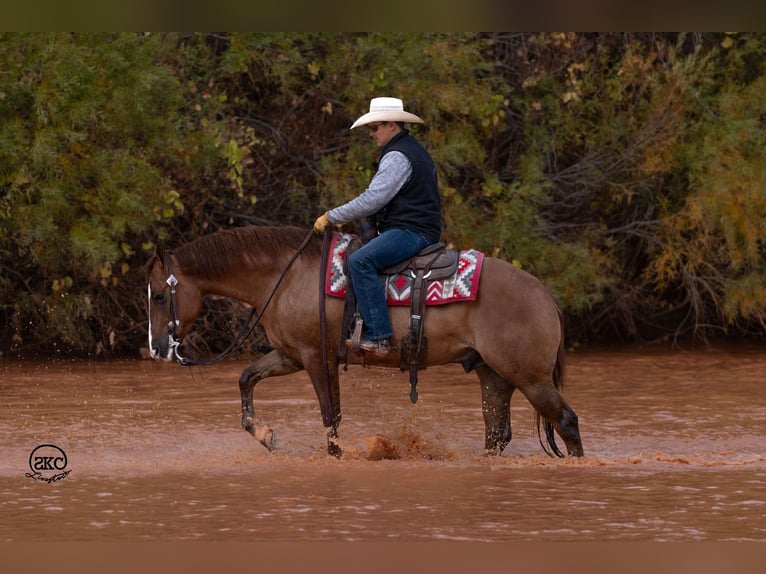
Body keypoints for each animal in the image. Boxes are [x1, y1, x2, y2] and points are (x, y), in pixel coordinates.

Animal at [147, 224, 584, 460]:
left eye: (159, 295)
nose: (157, 348)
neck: (284, 275)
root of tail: (545, 295)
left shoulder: (316, 357)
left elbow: (331, 417)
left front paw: (335, 456)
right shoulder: (290, 355)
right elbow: (246, 377)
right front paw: (264, 434)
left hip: (531, 379)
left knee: (566, 421)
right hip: (494, 376)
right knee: (497, 434)